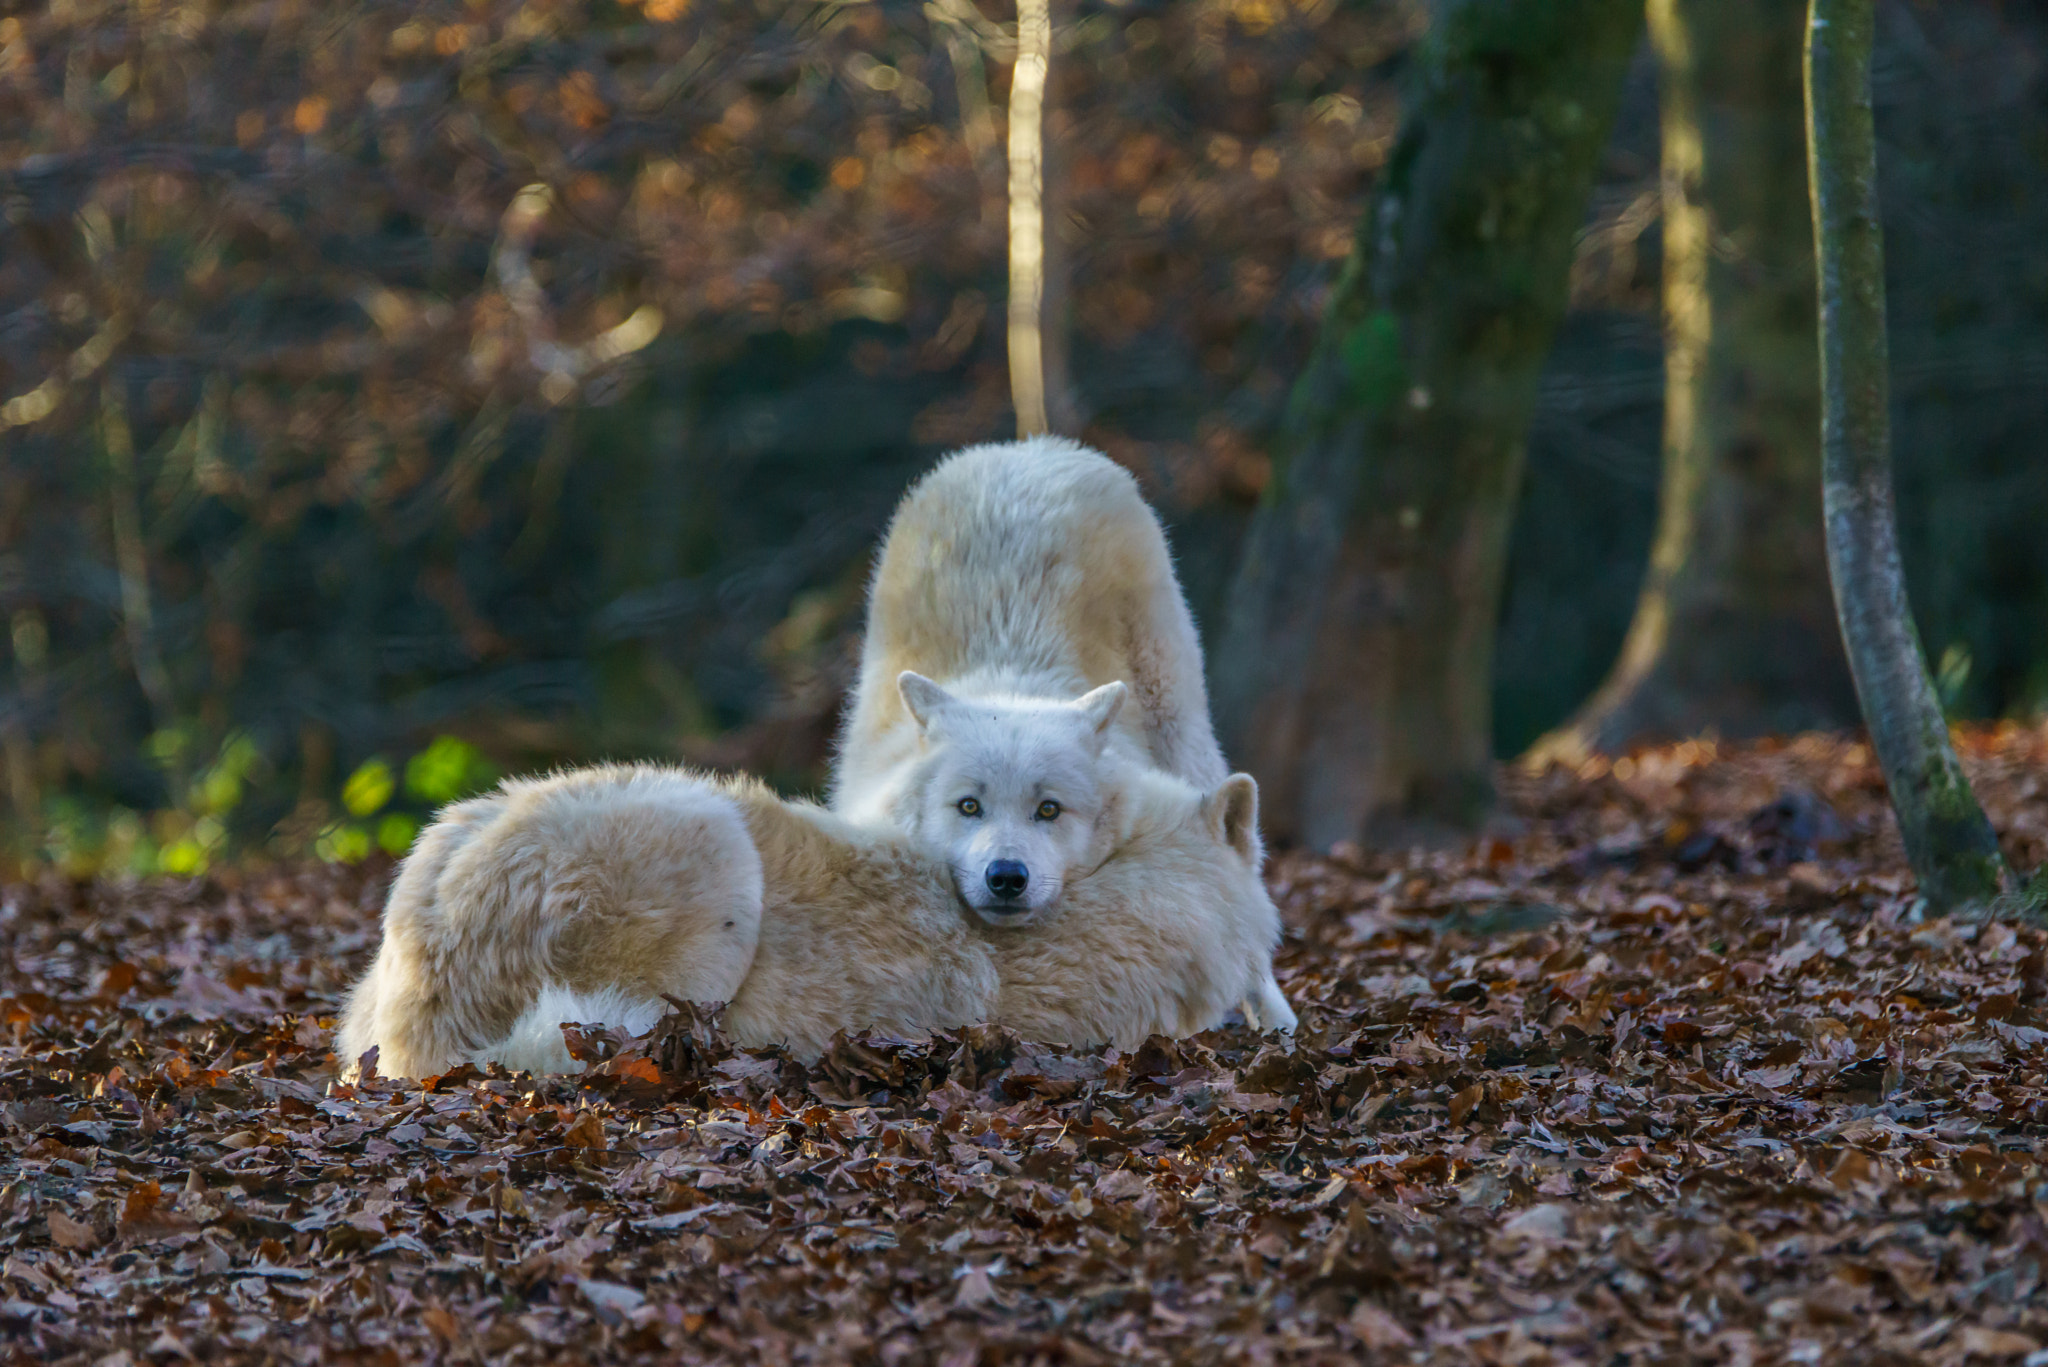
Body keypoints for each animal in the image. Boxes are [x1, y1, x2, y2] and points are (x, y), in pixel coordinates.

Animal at [827, 438, 1228, 930]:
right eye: (969, 806)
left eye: (1048, 809)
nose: (1006, 877)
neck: (1010, 685)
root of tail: (1029, 448)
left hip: (1176, 718)